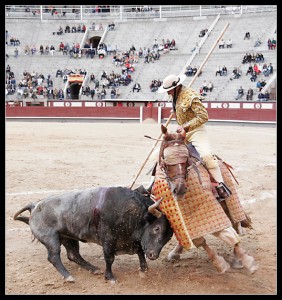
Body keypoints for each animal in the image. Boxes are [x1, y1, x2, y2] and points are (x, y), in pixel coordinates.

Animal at [13, 186, 174, 282]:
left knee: (73, 255)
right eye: (157, 228)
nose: (153, 255)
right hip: (50, 239)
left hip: (68, 237)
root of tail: (35, 205)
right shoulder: (108, 239)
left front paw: (144, 269)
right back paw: (68, 276)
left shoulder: (134, 240)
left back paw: (93, 269)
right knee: (54, 257)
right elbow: (109, 258)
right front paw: (110, 277)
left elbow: (140, 252)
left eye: (168, 237)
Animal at [150, 124, 258, 274]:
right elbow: (200, 241)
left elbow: (227, 234)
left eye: (186, 160)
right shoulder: (183, 219)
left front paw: (247, 262)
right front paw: (219, 263)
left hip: (229, 202)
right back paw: (175, 253)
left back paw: (237, 259)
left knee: (235, 223)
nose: (180, 189)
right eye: (165, 161)